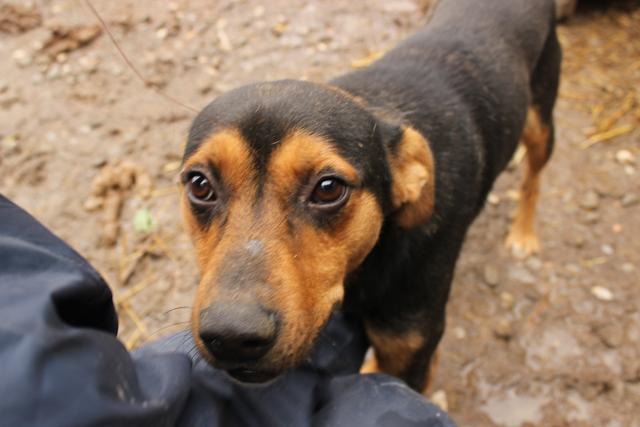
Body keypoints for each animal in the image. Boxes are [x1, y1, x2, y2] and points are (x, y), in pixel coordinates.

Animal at [179, 0, 560, 394]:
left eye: (328, 188)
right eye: (200, 185)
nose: (232, 336)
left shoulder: (407, 349)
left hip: (541, 125)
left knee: (533, 179)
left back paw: (523, 233)